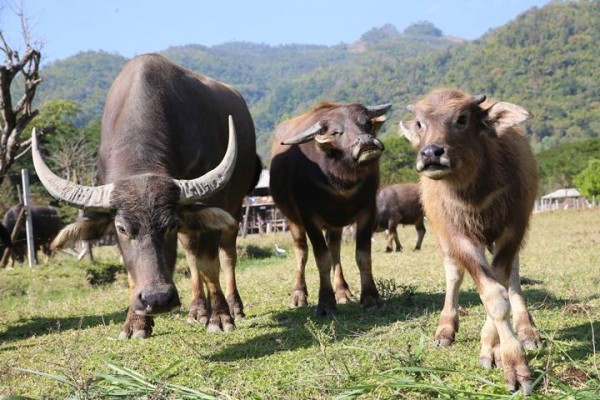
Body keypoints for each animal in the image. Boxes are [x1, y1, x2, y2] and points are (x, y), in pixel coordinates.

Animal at [30, 54, 260, 338]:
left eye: (169, 225)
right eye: (121, 229)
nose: (157, 299)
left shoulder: (210, 207)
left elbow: (210, 264)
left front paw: (220, 318)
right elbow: (135, 273)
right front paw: (136, 323)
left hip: (234, 208)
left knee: (227, 255)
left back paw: (233, 307)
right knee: (191, 256)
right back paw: (197, 310)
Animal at [270, 101, 392, 318]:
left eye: (366, 123)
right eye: (336, 132)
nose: (365, 141)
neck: (340, 182)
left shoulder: (368, 211)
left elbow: (362, 256)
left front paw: (371, 298)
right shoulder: (309, 217)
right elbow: (322, 258)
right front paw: (326, 303)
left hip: (336, 223)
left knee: (335, 249)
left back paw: (342, 290)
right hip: (291, 219)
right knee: (302, 252)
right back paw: (298, 294)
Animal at [400, 86, 540, 394]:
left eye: (462, 118)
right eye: (420, 123)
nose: (431, 153)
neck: (474, 195)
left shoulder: (513, 228)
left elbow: (501, 288)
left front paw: (499, 351)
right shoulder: (458, 236)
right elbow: (491, 296)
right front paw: (509, 360)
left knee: (513, 274)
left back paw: (526, 329)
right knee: (454, 275)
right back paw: (445, 329)